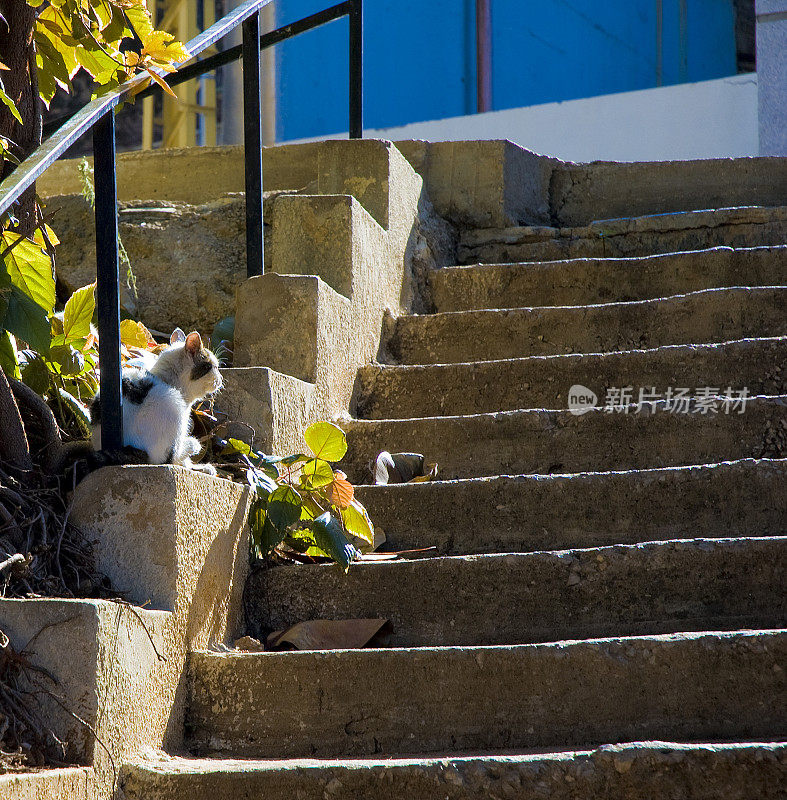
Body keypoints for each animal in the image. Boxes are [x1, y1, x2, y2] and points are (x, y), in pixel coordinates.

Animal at [90, 326, 223, 472]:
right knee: (171, 457)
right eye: (211, 366)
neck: (167, 380)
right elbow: (179, 459)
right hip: (174, 411)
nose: (221, 378)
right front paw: (198, 464)